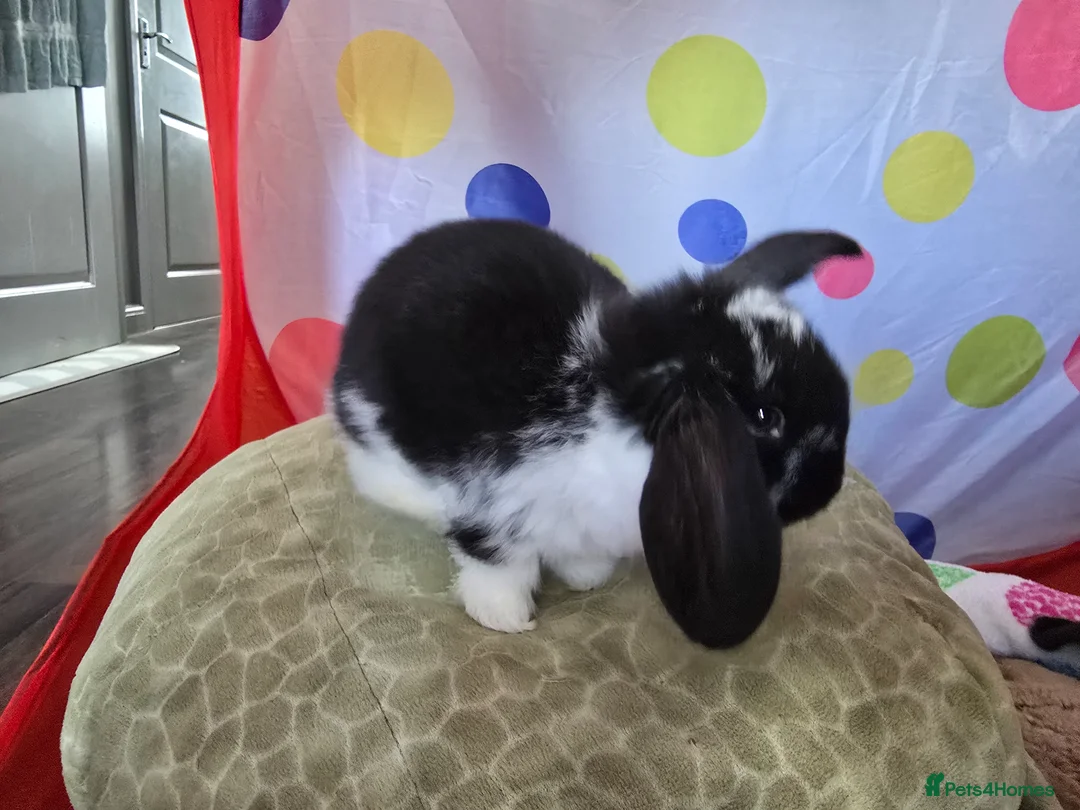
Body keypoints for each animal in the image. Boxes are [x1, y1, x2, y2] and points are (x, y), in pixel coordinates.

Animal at [332, 218, 858, 648]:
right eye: (767, 417)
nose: (829, 489)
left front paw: (587, 577)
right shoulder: (495, 497)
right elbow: (498, 558)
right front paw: (504, 617)